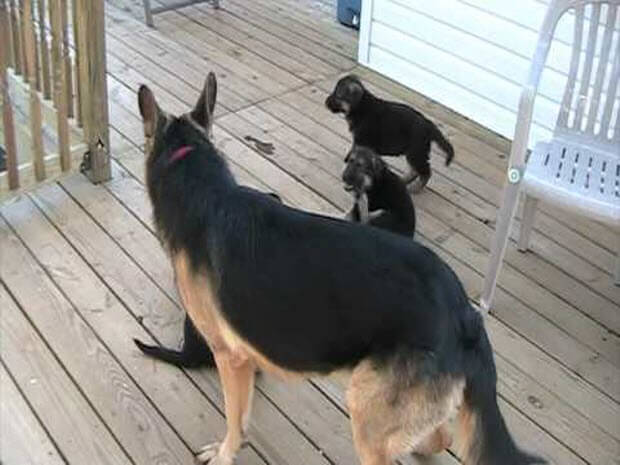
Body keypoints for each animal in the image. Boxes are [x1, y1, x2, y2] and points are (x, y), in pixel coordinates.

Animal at [324, 74, 456, 192]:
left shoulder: (361, 141)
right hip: (413, 152)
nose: (325, 102)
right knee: (414, 170)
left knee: (426, 172)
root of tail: (429, 125)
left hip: (416, 152)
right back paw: (404, 180)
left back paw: (415, 188)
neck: (361, 106)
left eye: (338, 95)